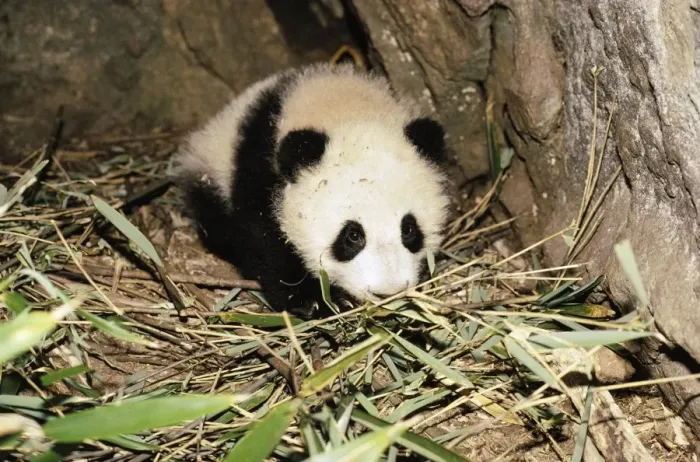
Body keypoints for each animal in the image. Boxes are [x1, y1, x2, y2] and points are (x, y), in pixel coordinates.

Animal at [173, 63, 451, 318]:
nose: (387, 292)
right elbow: (262, 237)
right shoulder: (258, 168)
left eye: (409, 229)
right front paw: (316, 299)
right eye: (352, 236)